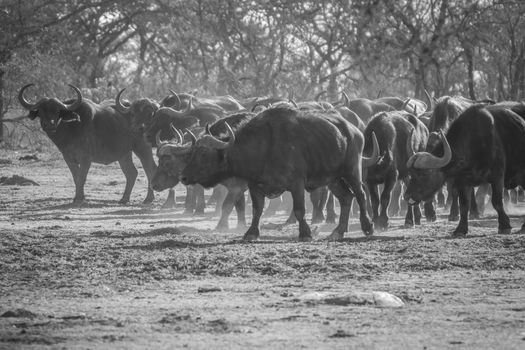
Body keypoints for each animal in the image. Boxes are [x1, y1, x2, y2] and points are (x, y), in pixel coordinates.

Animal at [20, 84, 156, 204]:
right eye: (41, 111)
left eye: (57, 111)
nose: (49, 124)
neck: (72, 128)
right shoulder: (68, 158)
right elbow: (76, 177)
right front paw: (78, 197)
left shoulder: (86, 158)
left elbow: (82, 177)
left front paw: (80, 198)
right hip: (124, 154)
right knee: (132, 173)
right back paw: (124, 199)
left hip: (142, 148)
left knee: (150, 170)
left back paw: (148, 198)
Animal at [180, 106, 376, 241]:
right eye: (192, 152)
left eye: (204, 154)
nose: (183, 177)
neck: (264, 147)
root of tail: (354, 130)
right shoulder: (254, 186)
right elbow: (257, 210)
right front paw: (251, 233)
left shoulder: (297, 184)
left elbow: (299, 209)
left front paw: (305, 233)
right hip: (332, 178)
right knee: (346, 198)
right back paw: (338, 232)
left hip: (351, 170)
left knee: (360, 194)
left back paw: (368, 226)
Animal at [408, 104, 525, 235]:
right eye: (411, 174)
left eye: (425, 174)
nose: (407, 196)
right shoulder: (462, 181)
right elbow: (464, 205)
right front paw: (460, 229)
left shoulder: (497, 176)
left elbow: (497, 201)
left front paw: (504, 225)